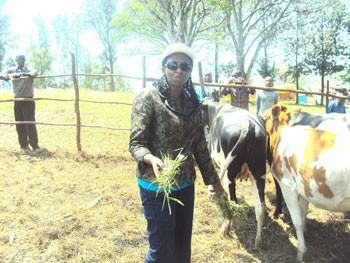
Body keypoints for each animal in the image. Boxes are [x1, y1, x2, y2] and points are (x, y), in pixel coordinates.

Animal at [201, 98, 266, 248]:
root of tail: (249, 125)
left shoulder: (212, 158)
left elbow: (211, 176)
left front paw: (211, 193)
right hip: (259, 174)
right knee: (261, 207)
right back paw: (258, 241)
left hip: (229, 174)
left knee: (233, 201)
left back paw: (225, 228)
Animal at [266, 104, 350, 262]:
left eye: (265, 116)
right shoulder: (304, 186)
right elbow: (303, 212)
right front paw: (305, 232)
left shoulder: (287, 186)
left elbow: (297, 220)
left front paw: (301, 252)